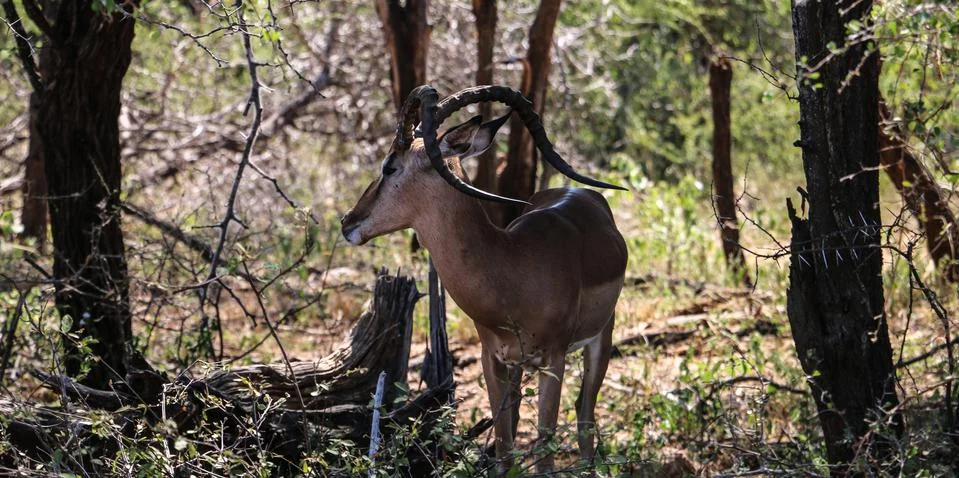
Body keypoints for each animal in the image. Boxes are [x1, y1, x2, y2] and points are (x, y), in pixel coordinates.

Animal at [341, 85, 627, 473]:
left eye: (390, 165)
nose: (348, 221)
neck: (511, 269)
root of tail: (586, 194)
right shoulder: (492, 359)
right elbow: (505, 451)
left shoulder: (554, 360)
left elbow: (545, 455)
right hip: (520, 368)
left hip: (600, 341)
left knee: (585, 423)